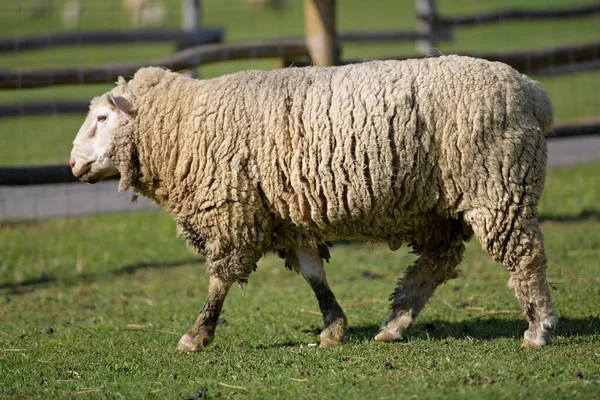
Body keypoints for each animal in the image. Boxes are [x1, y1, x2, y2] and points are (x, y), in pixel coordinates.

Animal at [70, 54, 556, 352]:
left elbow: (219, 280)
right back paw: (394, 325)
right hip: (442, 208)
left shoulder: (233, 214)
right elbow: (312, 273)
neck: (186, 125)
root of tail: (531, 91)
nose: (73, 164)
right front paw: (334, 328)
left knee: (526, 257)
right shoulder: (286, 217)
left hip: (498, 189)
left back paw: (538, 328)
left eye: (102, 117)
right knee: (436, 264)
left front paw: (196, 335)